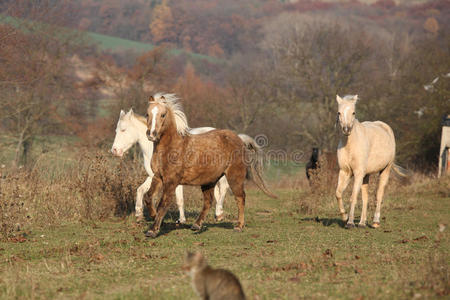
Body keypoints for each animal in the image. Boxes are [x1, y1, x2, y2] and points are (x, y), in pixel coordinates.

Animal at [144, 92, 276, 238]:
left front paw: (153, 230)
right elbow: (148, 197)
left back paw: (239, 226)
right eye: (147, 114)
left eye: (163, 114)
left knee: (240, 197)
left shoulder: (171, 181)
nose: (151, 134)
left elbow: (163, 204)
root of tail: (240, 139)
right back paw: (196, 225)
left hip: (234, 177)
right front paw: (154, 218)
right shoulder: (158, 177)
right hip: (209, 181)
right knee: (209, 201)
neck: (172, 147)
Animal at [334, 95, 408, 229]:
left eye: (353, 112)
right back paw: (362, 223)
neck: (350, 145)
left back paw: (375, 222)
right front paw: (345, 217)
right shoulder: (345, 172)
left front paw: (350, 223)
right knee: (366, 197)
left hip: (385, 170)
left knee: (379, 194)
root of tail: (385, 127)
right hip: (366, 175)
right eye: (339, 112)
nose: (346, 130)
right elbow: (338, 193)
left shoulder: (358, 173)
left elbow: (353, 197)